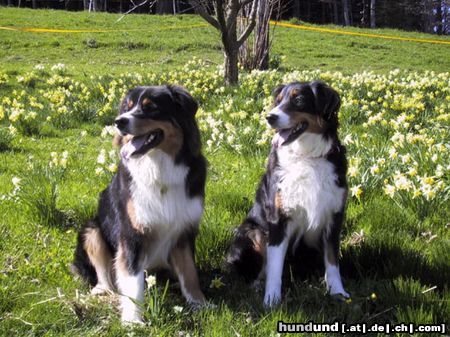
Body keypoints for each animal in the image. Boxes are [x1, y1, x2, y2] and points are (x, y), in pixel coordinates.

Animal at [72, 85, 207, 322]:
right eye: (126, 107)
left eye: (150, 107)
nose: (119, 121)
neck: (158, 168)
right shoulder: (131, 234)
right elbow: (133, 281)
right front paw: (133, 320)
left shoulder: (184, 230)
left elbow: (190, 272)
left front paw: (200, 303)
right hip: (92, 230)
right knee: (105, 274)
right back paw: (101, 289)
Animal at [230, 80, 350, 304]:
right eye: (278, 101)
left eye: (299, 99)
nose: (270, 117)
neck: (307, 157)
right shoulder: (279, 219)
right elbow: (275, 266)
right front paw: (271, 299)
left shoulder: (334, 217)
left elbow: (332, 262)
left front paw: (338, 292)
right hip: (253, 232)